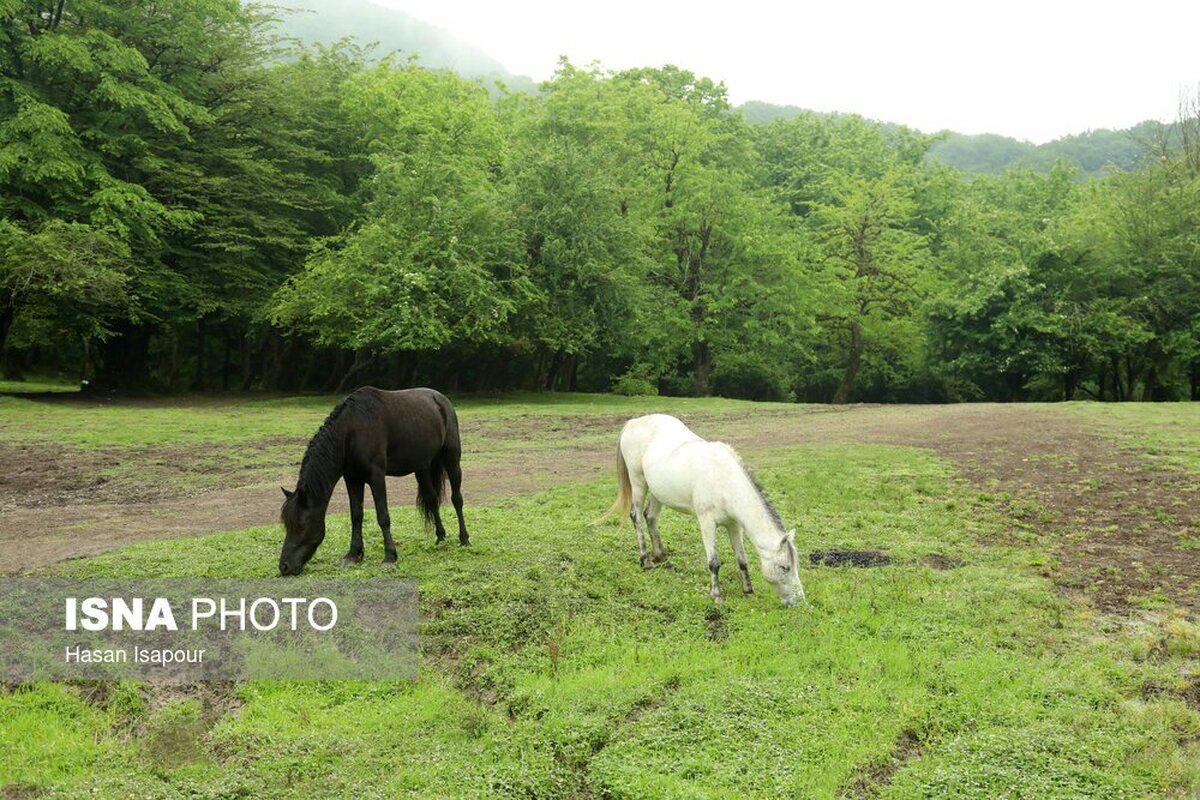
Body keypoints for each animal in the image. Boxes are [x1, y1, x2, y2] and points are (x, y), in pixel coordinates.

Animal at [279, 388, 468, 575]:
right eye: (287, 525)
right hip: (422, 467)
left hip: (452, 458)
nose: (284, 566)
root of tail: (440, 399)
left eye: (301, 526)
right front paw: (353, 554)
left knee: (457, 499)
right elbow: (356, 515)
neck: (352, 430)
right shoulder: (352, 478)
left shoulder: (376, 476)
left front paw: (390, 556)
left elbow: (383, 516)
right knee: (432, 499)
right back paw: (441, 537)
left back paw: (464, 539)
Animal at [600, 412, 806, 606]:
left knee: (650, 517)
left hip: (658, 491)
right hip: (638, 482)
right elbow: (714, 562)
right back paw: (646, 561)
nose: (800, 602)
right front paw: (717, 594)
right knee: (636, 517)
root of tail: (633, 422)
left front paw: (748, 591)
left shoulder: (734, 525)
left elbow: (742, 559)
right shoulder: (707, 522)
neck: (724, 481)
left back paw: (663, 559)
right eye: (785, 567)